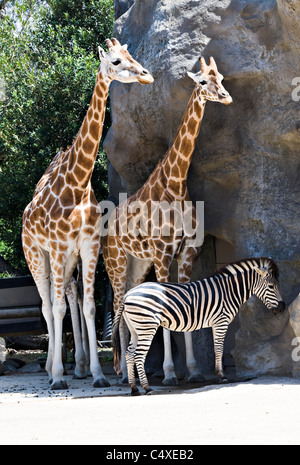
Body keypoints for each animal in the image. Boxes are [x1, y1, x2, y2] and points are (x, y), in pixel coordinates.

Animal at [22, 38, 154, 390]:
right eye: (116, 61)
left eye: (131, 54)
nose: (146, 75)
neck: (77, 184)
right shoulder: (56, 248)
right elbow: (56, 309)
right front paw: (58, 376)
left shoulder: (88, 247)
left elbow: (91, 307)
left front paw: (97, 374)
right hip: (35, 255)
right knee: (46, 305)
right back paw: (51, 370)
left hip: (66, 260)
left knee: (69, 298)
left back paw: (73, 366)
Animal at [101, 55, 232, 384]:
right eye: (203, 81)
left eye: (222, 78)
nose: (226, 97)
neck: (175, 182)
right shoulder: (162, 254)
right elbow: (164, 305)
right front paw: (171, 372)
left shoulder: (186, 252)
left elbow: (186, 301)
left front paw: (194, 370)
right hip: (116, 263)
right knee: (118, 305)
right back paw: (123, 374)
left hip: (137, 264)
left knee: (128, 303)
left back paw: (134, 371)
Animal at [111, 258, 284, 396]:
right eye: (271, 286)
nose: (282, 308)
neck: (229, 291)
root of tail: (127, 295)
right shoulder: (221, 321)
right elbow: (219, 348)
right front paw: (222, 376)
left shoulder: (215, 323)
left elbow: (216, 348)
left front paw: (219, 374)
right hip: (146, 327)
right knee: (139, 356)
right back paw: (147, 388)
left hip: (136, 329)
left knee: (129, 354)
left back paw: (134, 388)